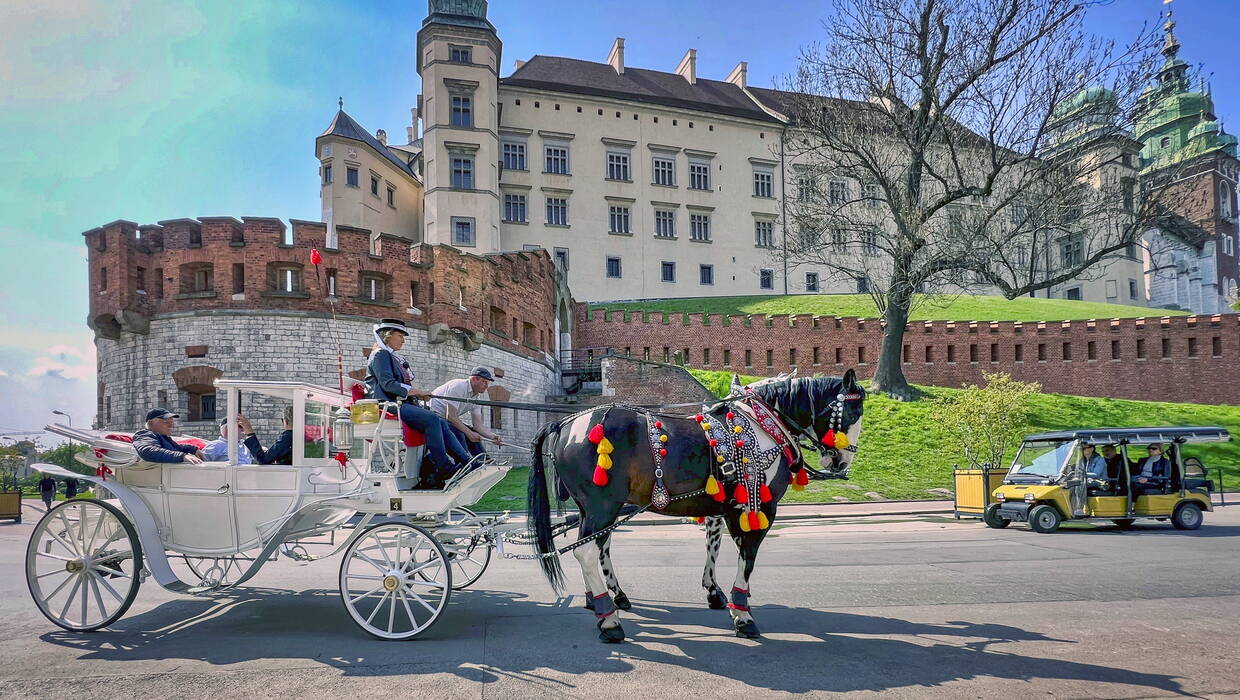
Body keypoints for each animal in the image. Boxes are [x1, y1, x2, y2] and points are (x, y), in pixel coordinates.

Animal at [528, 369, 868, 639]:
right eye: (853, 413)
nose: (842, 462)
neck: (762, 426)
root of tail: (566, 422)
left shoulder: (724, 506)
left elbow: (716, 546)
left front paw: (718, 593)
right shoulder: (757, 507)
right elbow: (747, 557)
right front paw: (742, 614)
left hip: (593, 508)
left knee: (593, 545)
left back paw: (600, 598)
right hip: (603, 505)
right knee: (587, 551)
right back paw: (609, 619)